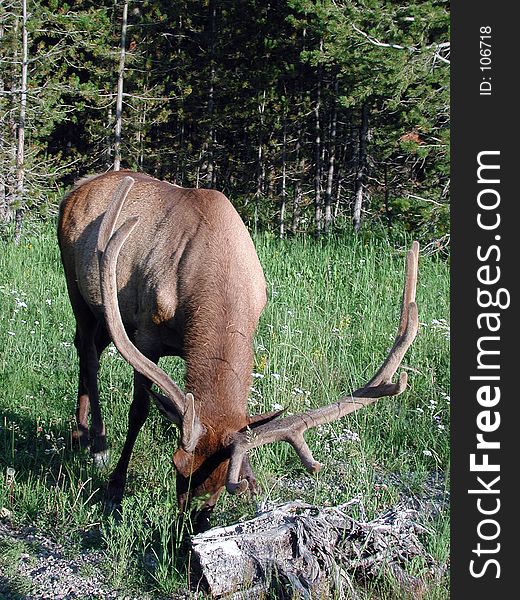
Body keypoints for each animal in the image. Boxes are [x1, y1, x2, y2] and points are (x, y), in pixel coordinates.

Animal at [59, 171, 420, 532]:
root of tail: (76, 188)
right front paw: (115, 488)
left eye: (224, 482)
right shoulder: (145, 334)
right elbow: (139, 411)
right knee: (88, 355)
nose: (191, 526)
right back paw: (97, 444)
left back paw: (79, 433)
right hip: (78, 287)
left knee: (87, 347)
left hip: (103, 314)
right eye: (177, 464)